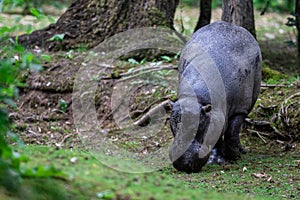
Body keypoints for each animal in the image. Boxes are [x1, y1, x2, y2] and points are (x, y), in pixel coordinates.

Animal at [170, 21, 262, 173]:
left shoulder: (238, 109)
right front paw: (216, 159)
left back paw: (240, 151)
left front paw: (232, 156)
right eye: (173, 125)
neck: (196, 99)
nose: (182, 164)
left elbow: (232, 131)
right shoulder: (214, 114)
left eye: (198, 127)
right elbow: (217, 136)